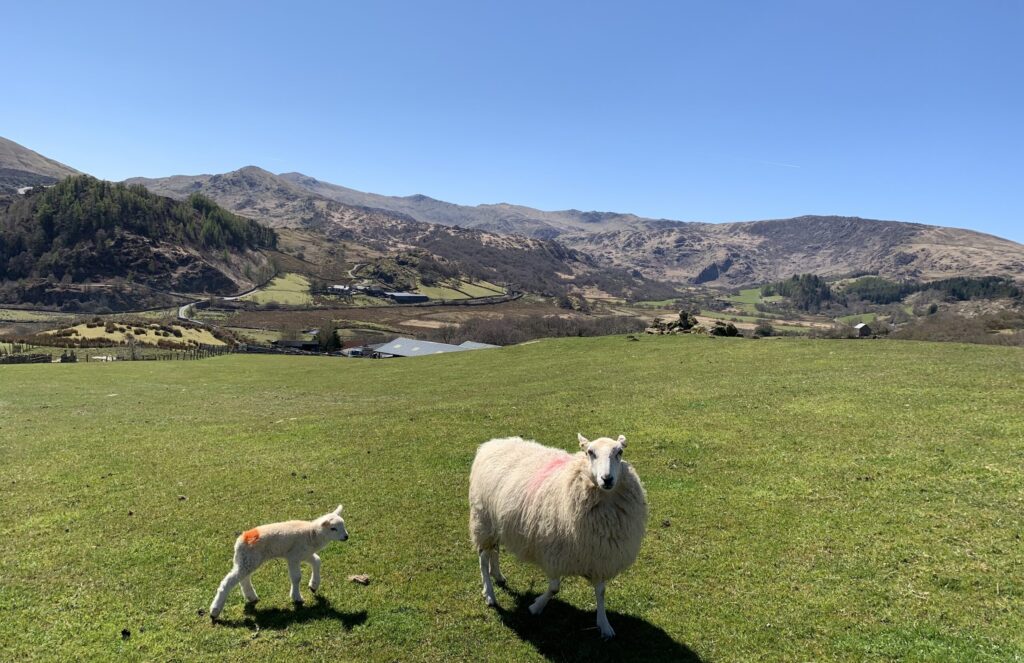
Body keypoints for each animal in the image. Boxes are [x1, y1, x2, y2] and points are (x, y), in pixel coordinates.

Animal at [209, 506, 350, 618]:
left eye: (343, 525)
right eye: (333, 528)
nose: (346, 537)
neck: (312, 534)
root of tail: (242, 538)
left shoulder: (304, 553)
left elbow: (317, 561)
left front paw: (314, 585)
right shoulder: (293, 556)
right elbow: (296, 577)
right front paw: (296, 598)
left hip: (247, 560)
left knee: (244, 578)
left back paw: (251, 597)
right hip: (249, 559)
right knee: (229, 581)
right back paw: (215, 611)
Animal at [468, 432, 647, 639]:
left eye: (619, 452)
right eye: (590, 452)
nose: (607, 479)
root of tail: (492, 443)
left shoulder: (599, 557)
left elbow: (601, 592)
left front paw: (604, 624)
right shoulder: (554, 553)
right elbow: (554, 588)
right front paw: (536, 607)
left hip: (496, 523)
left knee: (494, 552)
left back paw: (497, 575)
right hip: (483, 520)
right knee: (483, 557)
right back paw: (489, 593)